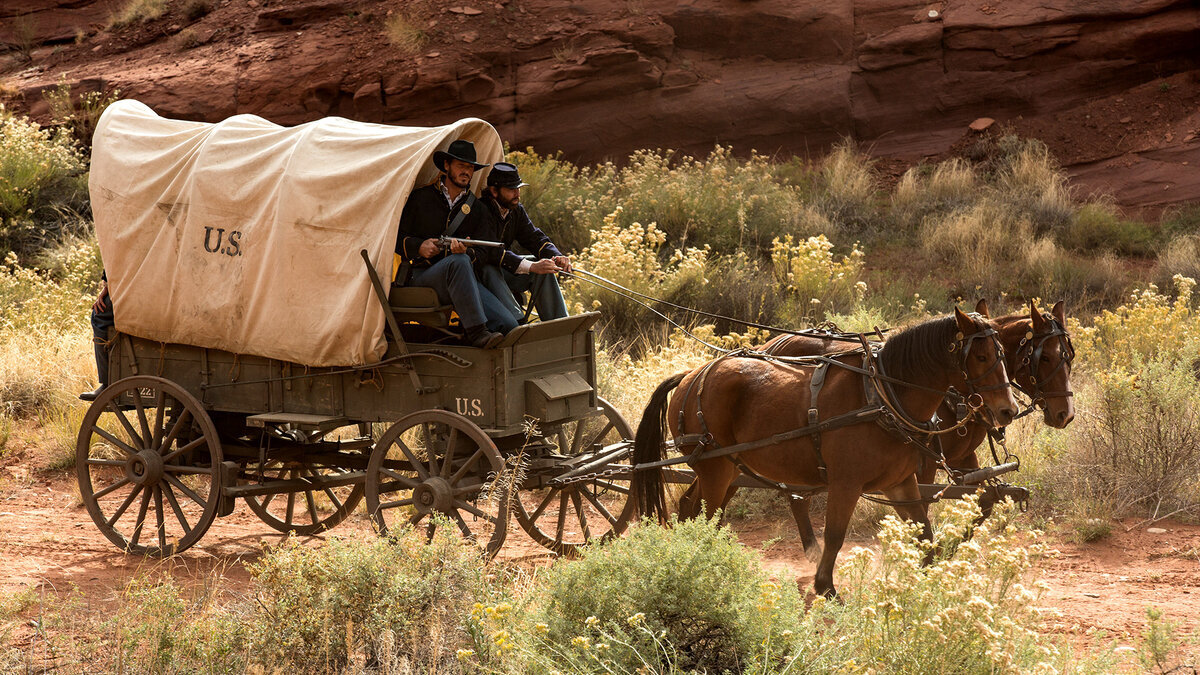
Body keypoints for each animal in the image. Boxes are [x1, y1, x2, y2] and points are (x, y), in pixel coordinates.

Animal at [633, 306, 1017, 593]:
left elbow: (924, 531)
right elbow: (834, 535)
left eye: (1003, 355)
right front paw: (825, 586)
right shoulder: (846, 484)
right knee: (704, 515)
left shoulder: (900, 483)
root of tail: (690, 375)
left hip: (726, 468)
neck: (882, 397)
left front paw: (933, 579)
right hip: (718, 468)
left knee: (689, 507)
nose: (1007, 410)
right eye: (981, 356)